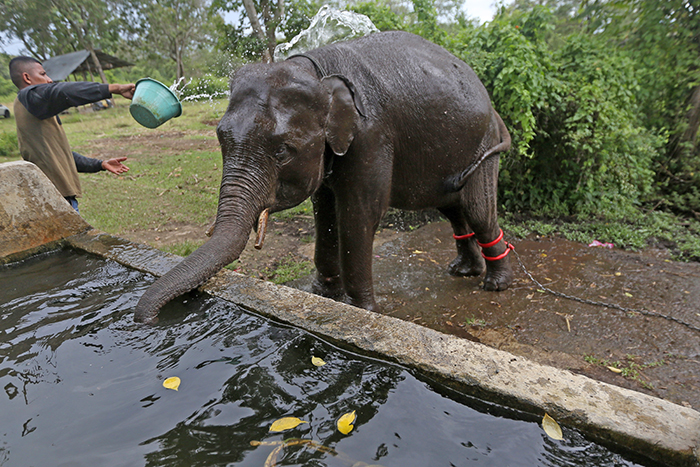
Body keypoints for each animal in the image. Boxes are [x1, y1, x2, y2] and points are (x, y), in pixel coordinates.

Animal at [133, 30, 516, 326]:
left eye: (282, 151)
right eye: (220, 139)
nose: (150, 320)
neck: (316, 71)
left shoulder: (371, 135)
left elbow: (360, 213)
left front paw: (363, 311)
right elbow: (325, 212)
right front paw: (324, 296)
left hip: (484, 146)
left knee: (477, 209)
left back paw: (495, 285)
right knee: (452, 207)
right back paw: (462, 270)